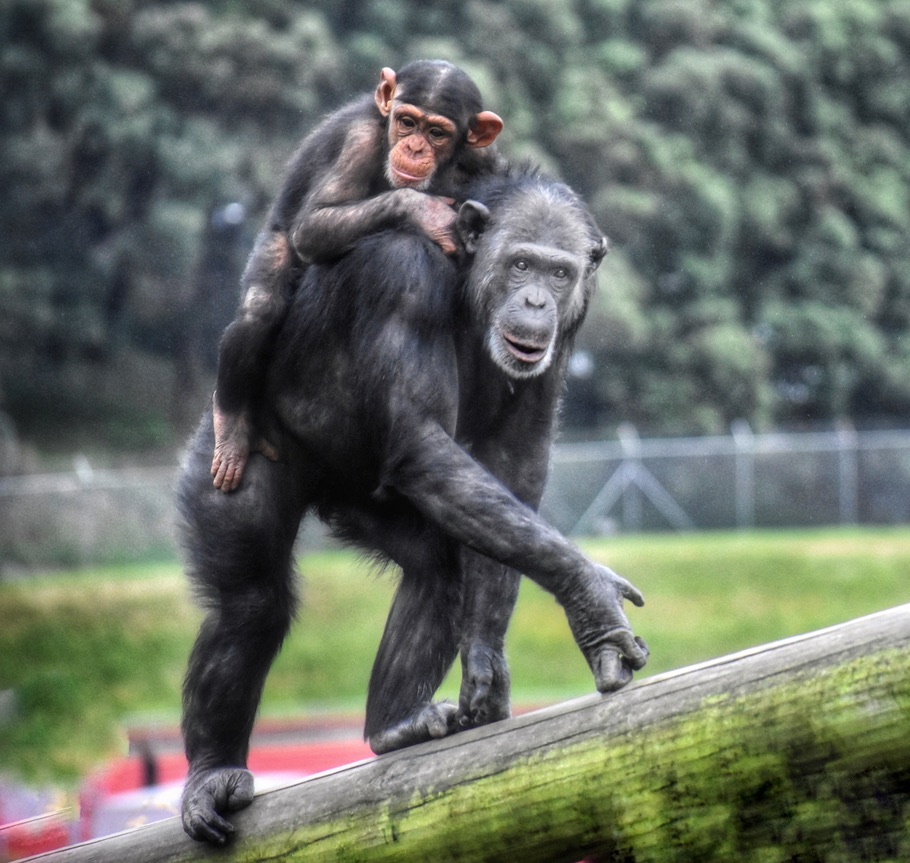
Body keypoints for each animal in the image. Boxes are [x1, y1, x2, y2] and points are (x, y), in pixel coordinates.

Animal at [176, 167, 648, 844]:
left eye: (559, 274)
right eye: (521, 264)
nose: (537, 301)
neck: (468, 280)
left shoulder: (570, 329)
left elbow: (516, 462)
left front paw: (486, 660)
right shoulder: (403, 279)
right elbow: (423, 437)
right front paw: (592, 598)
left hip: (367, 497)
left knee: (439, 564)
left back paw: (393, 726)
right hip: (233, 450)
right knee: (250, 604)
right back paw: (213, 773)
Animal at [210, 59, 502, 492]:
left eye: (437, 133)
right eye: (407, 122)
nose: (414, 148)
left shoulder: (485, 156)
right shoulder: (357, 143)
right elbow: (312, 226)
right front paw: (427, 214)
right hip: (273, 243)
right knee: (259, 311)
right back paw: (230, 430)